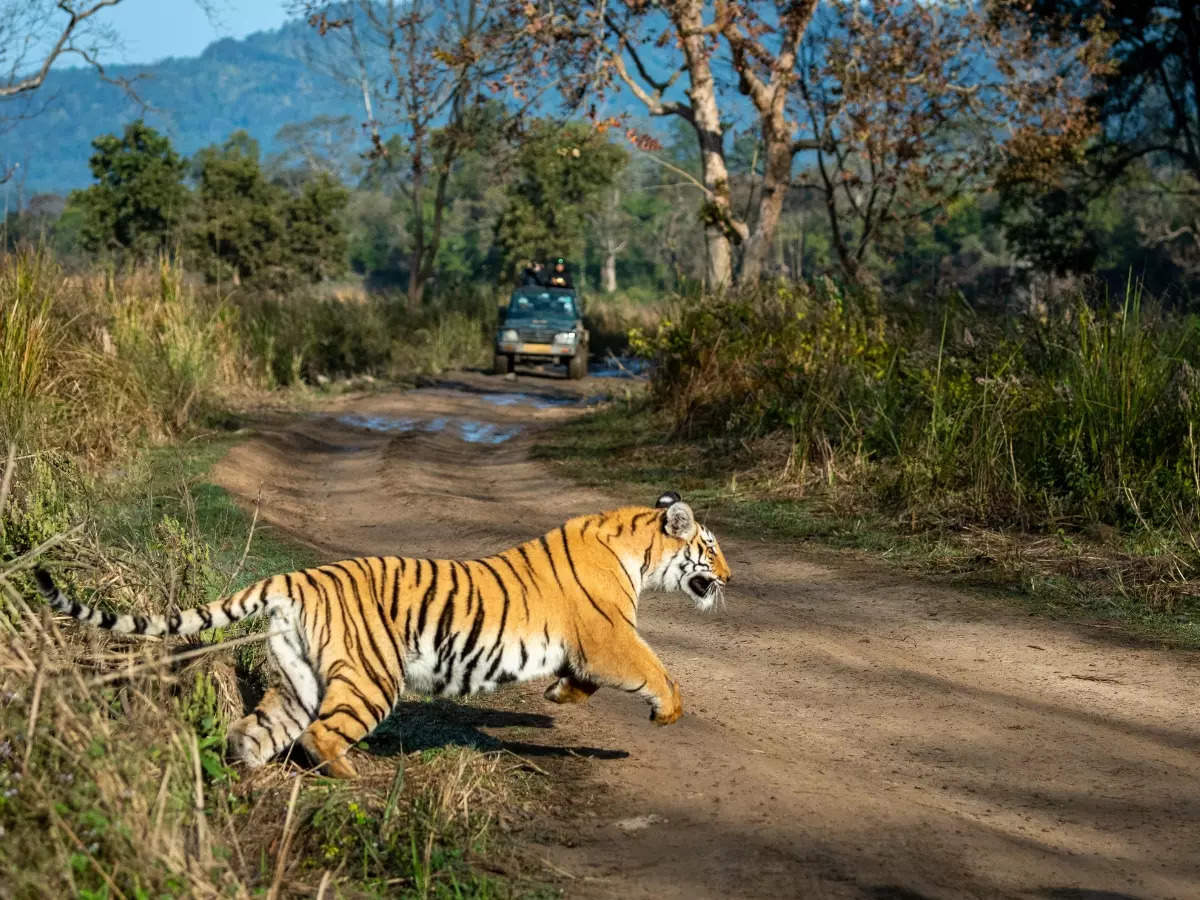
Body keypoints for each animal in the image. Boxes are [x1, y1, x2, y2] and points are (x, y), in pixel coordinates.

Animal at [35, 489, 729, 777]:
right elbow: (656, 668)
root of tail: (296, 576)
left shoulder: (588, 647)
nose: (729, 576)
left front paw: (559, 695)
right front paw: (668, 712)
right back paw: (353, 780)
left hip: (298, 678)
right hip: (372, 676)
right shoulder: (610, 637)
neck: (638, 551)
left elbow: (583, 680)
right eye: (711, 547)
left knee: (255, 731)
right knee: (319, 735)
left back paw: (245, 778)